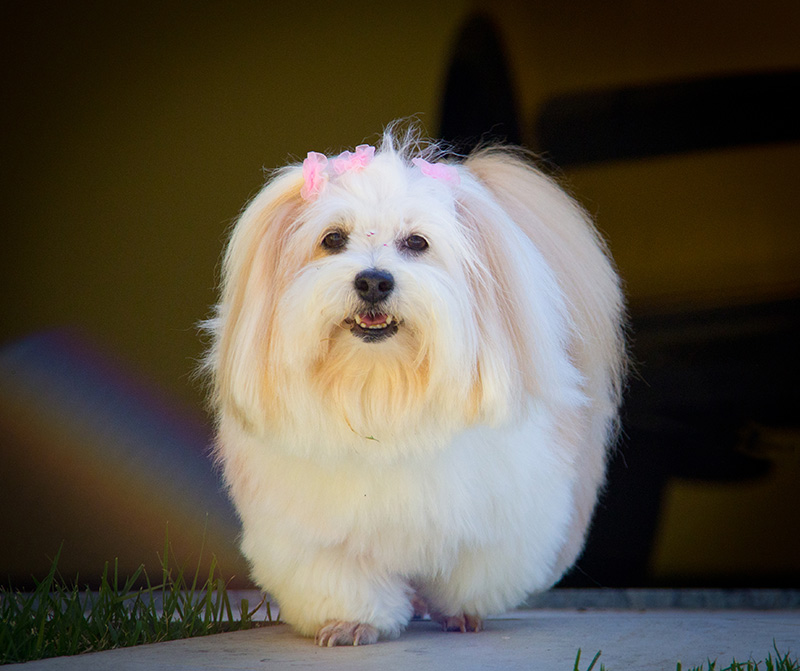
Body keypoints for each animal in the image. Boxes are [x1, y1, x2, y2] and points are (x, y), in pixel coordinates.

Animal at [205, 126, 624, 644]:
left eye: (416, 242)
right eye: (332, 238)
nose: (373, 281)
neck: (380, 388)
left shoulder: (497, 516)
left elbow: (475, 570)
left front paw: (464, 614)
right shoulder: (321, 532)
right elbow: (342, 577)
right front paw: (353, 623)